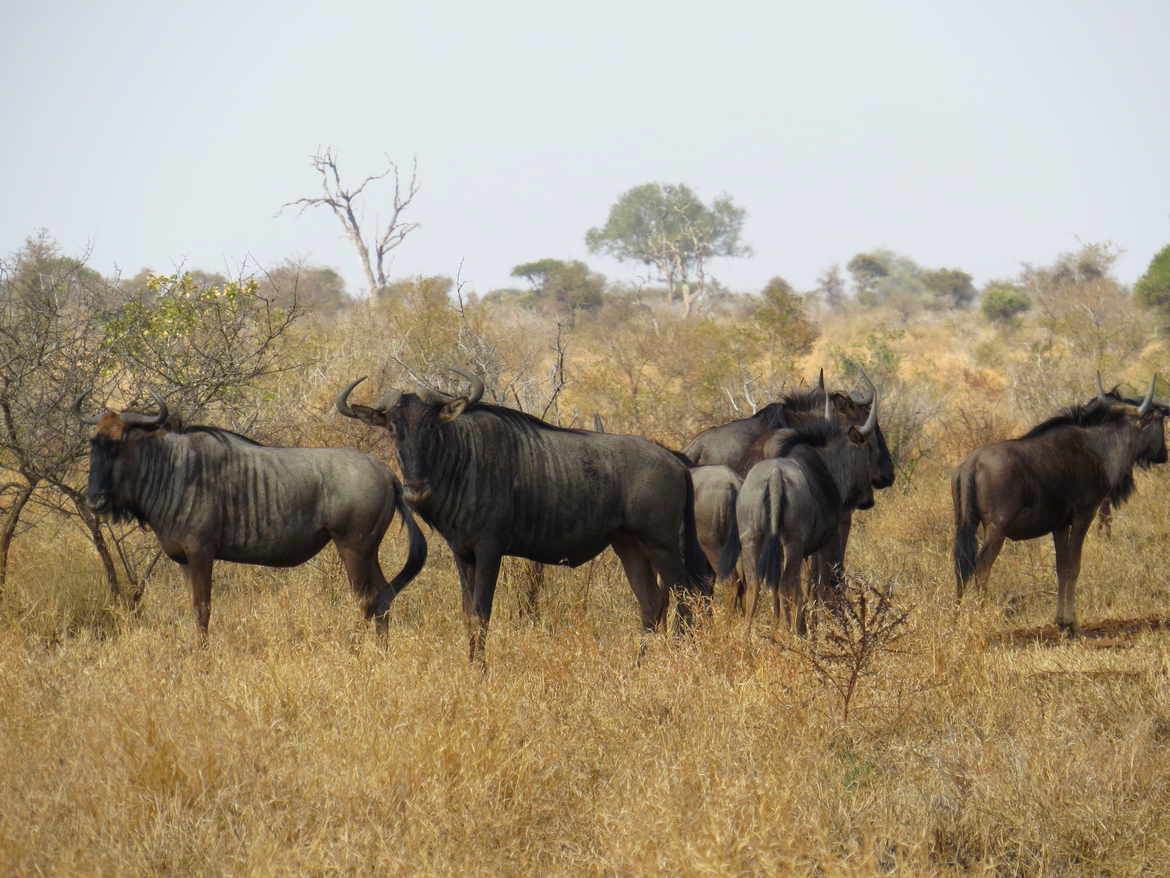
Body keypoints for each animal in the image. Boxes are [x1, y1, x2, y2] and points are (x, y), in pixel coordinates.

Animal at [74, 389, 427, 642]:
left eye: (119, 443)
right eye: (93, 442)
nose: (94, 500)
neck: (173, 468)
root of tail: (386, 472)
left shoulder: (201, 553)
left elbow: (203, 610)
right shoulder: (184, 559)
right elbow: (193, 609)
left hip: (353, 549)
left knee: (366, 600)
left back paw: (353, 652)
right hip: (368, 552)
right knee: (383, 598)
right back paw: (381, 653)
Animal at [335, 369, 711, 662]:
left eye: (430, 426)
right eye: (393, 428)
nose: (414, 491)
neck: (463, 458)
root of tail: (675, 461)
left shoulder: (489, 550)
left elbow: (482, 614)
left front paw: (481, 673)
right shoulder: (463, 553)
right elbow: (468, 616)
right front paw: (470, 669)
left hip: (662, 546)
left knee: (688, 596)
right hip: (629, 547)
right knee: (652, 603)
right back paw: (637, 667)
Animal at [732, 394, 881, 637]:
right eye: (868, 449)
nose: (867, 500)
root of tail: (774, 476)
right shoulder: (827, 541)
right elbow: (821, 585)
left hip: (751, 542)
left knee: (755, 586)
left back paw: (748, 639)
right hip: (791, 545)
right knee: (786, 585)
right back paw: (788, 635)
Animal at [951, 376, 1166, 634]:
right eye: (1161, 421)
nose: (1164, 455)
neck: (1099, 448)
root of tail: (971, 462)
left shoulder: (1060, 525)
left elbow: (1061, 566)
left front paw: (1061, 621)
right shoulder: (1084, 516)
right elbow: (1074, 565)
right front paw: (1073, 624)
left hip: (965, 526)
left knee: (961, 565)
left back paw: (958, 619)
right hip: (995, 530)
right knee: (981, 567)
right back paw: (981, 619)